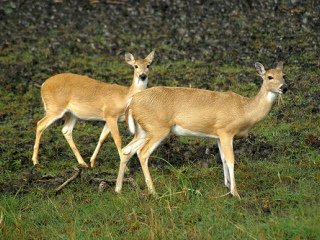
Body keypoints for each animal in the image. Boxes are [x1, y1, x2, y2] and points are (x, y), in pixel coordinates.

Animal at [114, 61, 288, 198]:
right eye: (269, 77)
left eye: (284, 75)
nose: (284, 87)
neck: (244, 110)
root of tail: (132, 102)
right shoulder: (226, 131)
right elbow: (231, 159)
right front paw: (235, 193)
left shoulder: (218, 135)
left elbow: (223, 158)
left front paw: (226, 185)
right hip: (158, 128)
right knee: (142, 153)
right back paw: (153, 192)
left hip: (143, 130)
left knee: (127, 150)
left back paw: (118, 189)